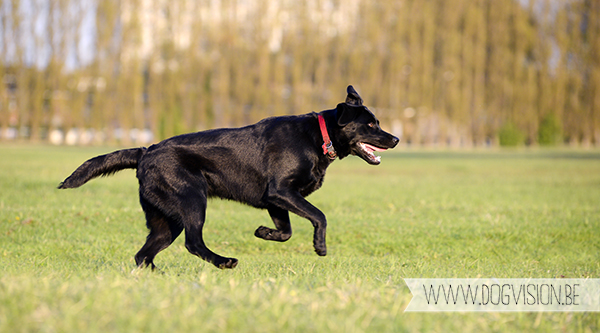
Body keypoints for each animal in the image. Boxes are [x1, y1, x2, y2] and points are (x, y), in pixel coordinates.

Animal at [59, 85, 398, 268]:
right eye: (371, 124)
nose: (395, 139)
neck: (318, 137)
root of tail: (146, 151)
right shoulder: (281, 191)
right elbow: (319, 215)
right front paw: (320, 246)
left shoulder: (274, 201)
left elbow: (285, 231)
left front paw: (264, 233)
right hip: (193, 201)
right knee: (193, 243)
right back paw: (223, 261)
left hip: (166, 220)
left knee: (143, 254)